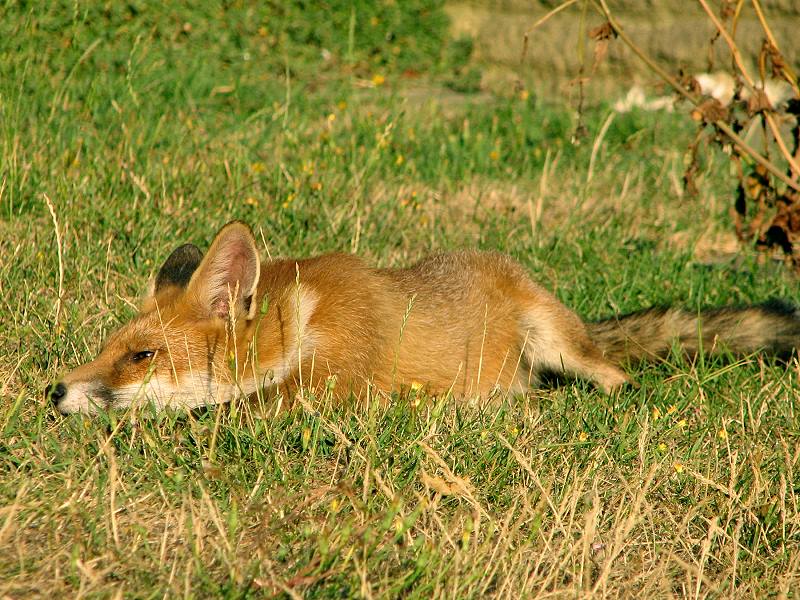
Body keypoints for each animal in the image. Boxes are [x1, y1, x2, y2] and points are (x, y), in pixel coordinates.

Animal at [50, 221, 800, 418]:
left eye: (142, 356)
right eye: (107, 348)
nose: (54, 390)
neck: (298, 322)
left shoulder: (337, 387)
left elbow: (226, 410)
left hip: (564, 344)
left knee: (613, 374)